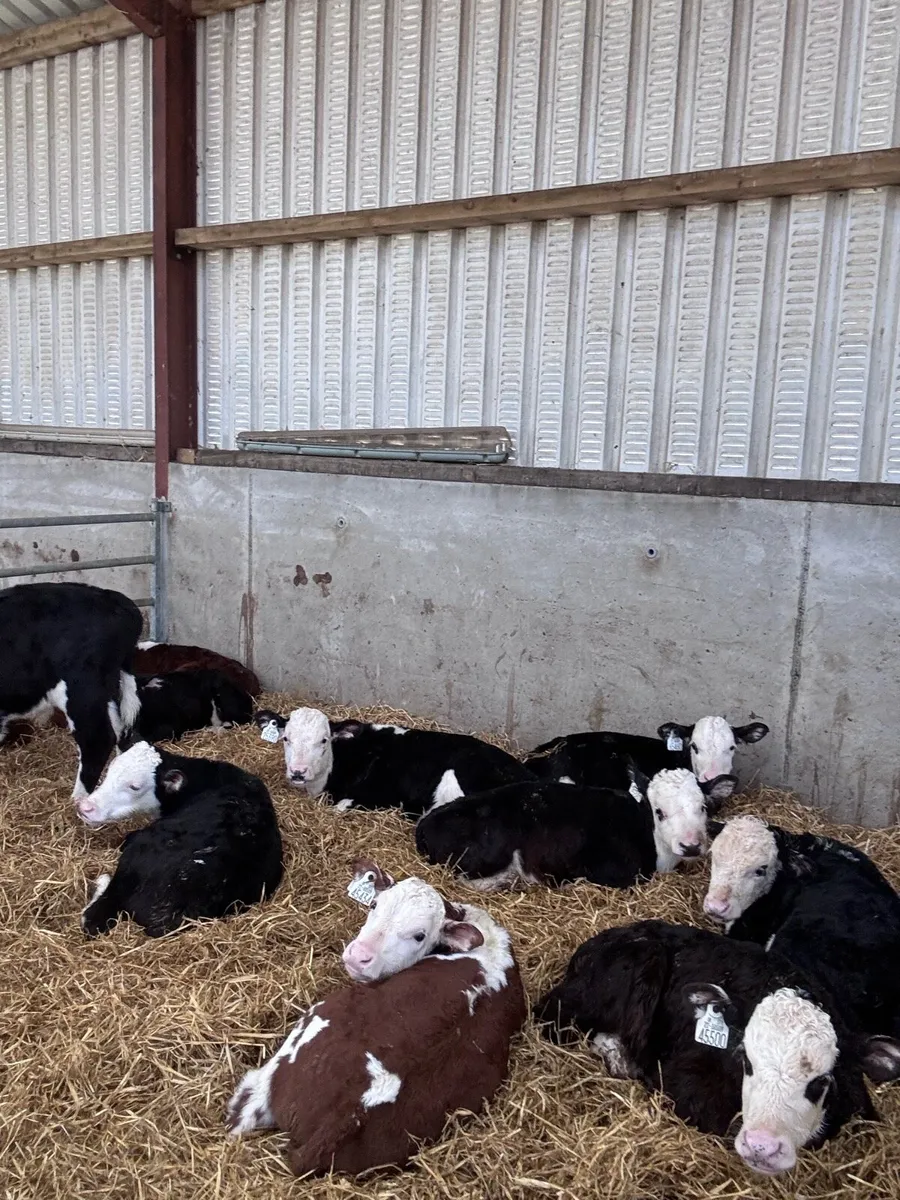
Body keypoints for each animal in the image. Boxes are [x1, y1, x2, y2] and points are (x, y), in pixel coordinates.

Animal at [0, 582, 142, 798]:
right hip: (108, 688)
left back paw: (77, 800)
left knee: (97, 739)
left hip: (81, 688)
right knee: (122, 731)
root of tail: (112, 598)